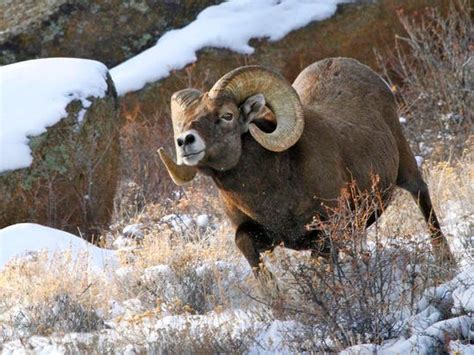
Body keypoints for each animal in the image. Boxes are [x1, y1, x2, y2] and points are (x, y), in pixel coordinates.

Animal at [160, 58, 456, 276]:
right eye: (183, 122)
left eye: (227, 115)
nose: (185, 141)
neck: (272, 192)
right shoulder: (260, 234)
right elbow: (249, 251)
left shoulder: (326, 231)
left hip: (406, 169)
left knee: (422, 197)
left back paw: (445, 260)